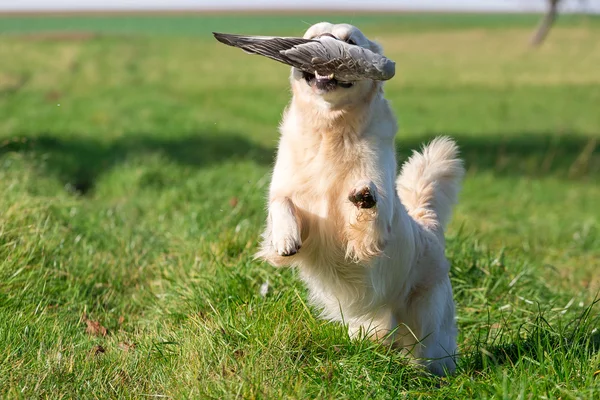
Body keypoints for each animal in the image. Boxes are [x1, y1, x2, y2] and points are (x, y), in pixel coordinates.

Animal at [254, 21, 464, 376]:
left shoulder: (375, 218)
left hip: (428, 322)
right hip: (369, 322)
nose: (327, 51)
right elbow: (281, 202)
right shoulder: (290, 194)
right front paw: (285, 239)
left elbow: (371, 208)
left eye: (350, 40)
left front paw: (364, 196)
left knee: (431, 352)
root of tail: (429, 230)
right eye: (312, 37)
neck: (330, 129)